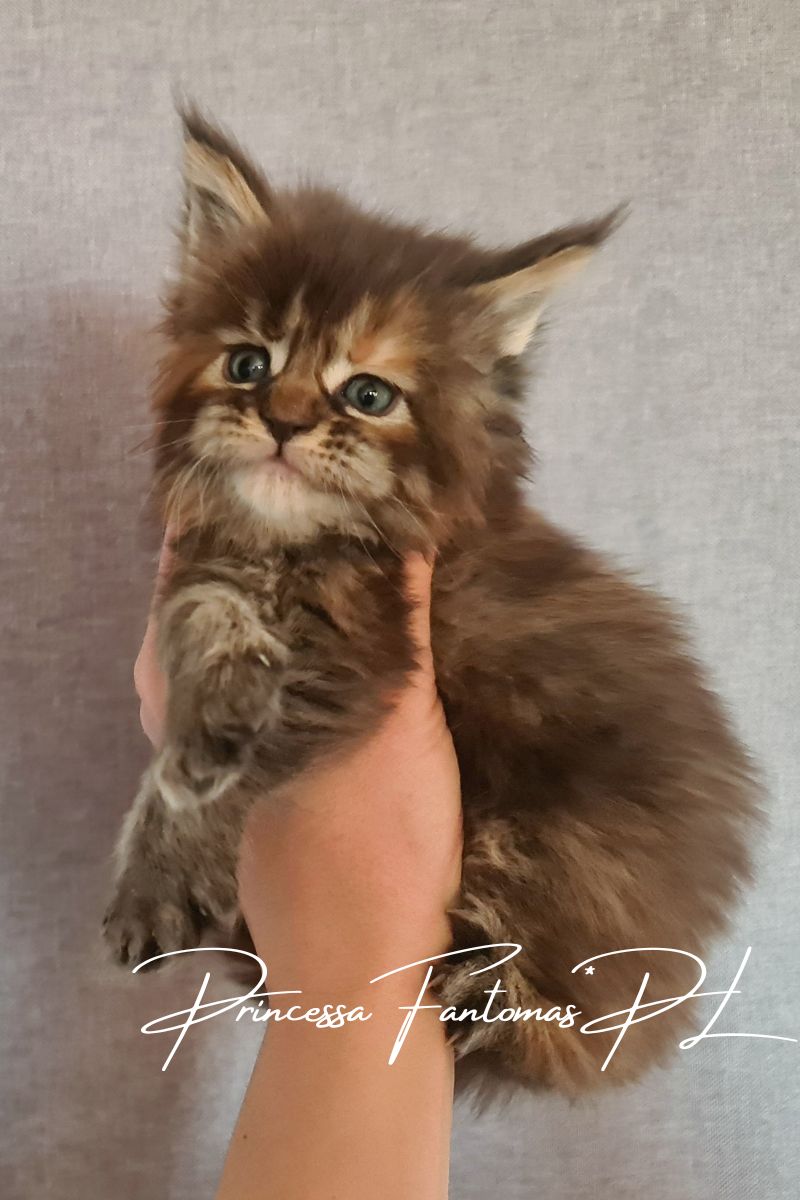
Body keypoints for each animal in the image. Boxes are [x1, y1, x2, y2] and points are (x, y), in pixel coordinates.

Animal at [103, 107, 759, 1096]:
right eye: (248, 363)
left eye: (369, 393)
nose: (284, 420)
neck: (296, 545)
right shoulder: (208, 565)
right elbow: (204, 622)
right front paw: (211, 722)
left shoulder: (362, 652)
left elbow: (228, 780)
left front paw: (161, 874)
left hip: (564, 845)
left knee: (555, 1026)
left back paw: (476, 989)